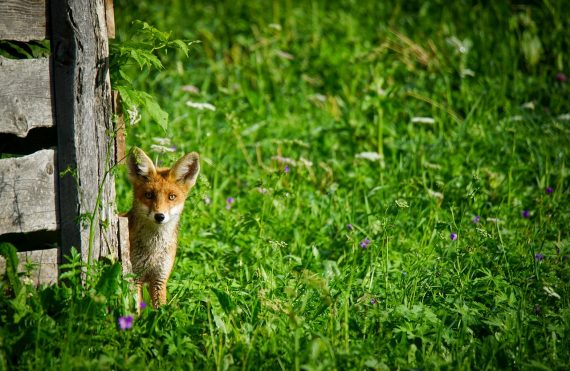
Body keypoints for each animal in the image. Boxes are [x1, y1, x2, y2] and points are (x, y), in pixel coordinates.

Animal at [125, 147, 200, 310]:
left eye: (171, 197)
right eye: (149, 195)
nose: (159, 216)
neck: (154, 250)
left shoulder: (160, 278)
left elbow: (160, 310)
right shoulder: (135, 277)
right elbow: (136, 309)